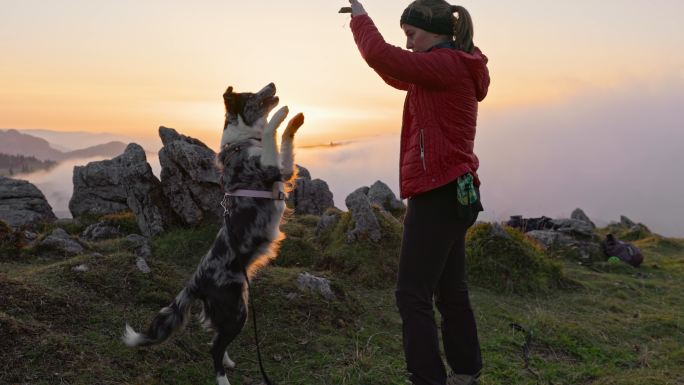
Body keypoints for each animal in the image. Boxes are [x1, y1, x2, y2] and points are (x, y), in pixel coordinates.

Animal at [123, 82, 304, 384]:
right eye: (252, 95)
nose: (272, 85)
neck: (243, 141)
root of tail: (196, 280)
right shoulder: (271, 169)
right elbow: (272, 132)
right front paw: (281, 115)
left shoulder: (282, 169)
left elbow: (285, 142)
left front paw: (295, 120)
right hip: (237, 310)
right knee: (214, 348)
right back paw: (223, 378)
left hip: (233, 309)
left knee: (217, 340)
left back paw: (229, 362)